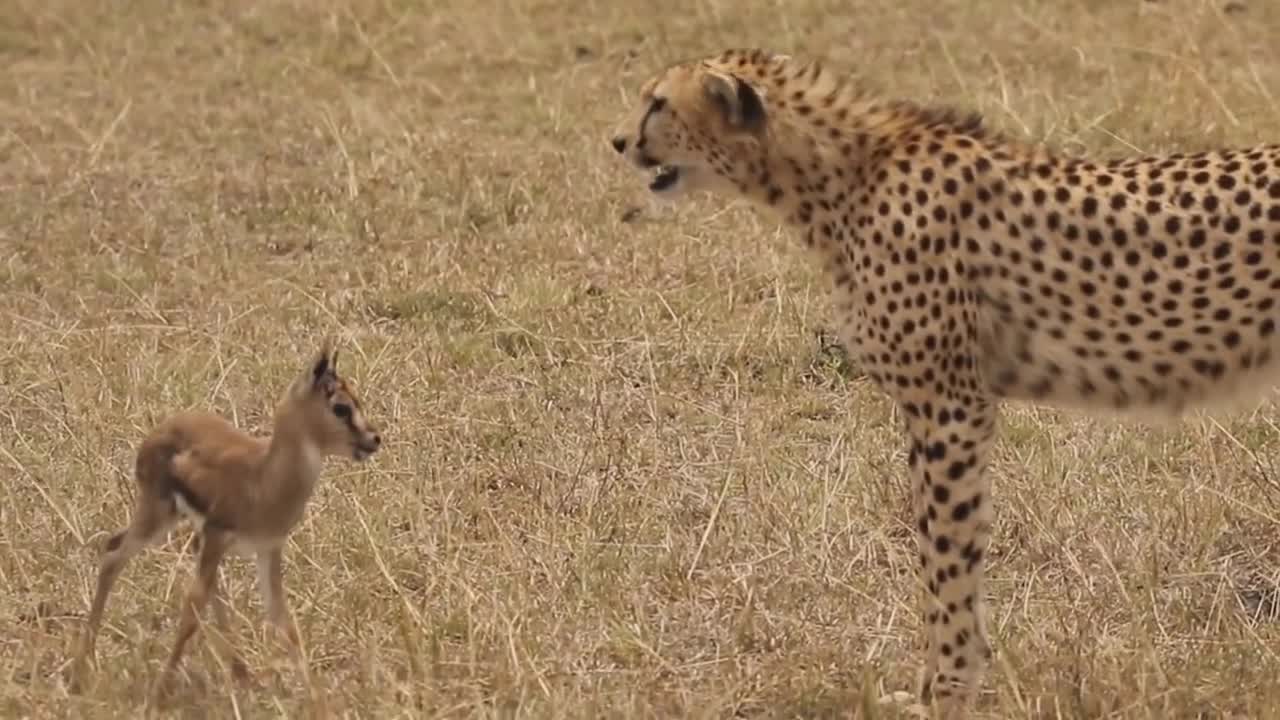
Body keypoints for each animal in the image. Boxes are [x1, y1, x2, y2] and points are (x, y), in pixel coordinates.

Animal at [604, 47, 1280, 712]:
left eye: (658, 103)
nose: (616, 141)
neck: (836, 178)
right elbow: (942, 540)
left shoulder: (950, 404)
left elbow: (946, 551)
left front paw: (947, 688)